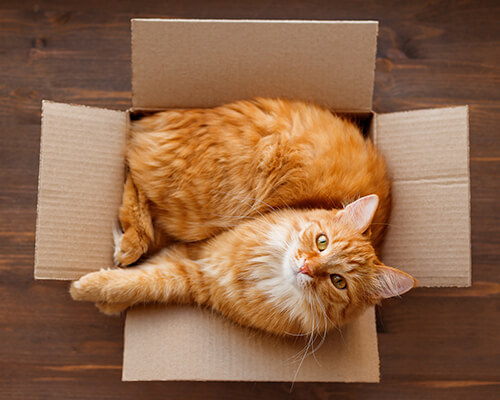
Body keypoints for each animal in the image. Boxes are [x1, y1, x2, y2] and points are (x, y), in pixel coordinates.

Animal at [70, 195, 414, 336]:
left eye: (338, 281)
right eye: (322, 242)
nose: (305, 267)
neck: (269, 275)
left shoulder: (192, 279)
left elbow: (143, 283)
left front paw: (92, 292)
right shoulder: (197, 253)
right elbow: (139, 275)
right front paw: (96, 289)